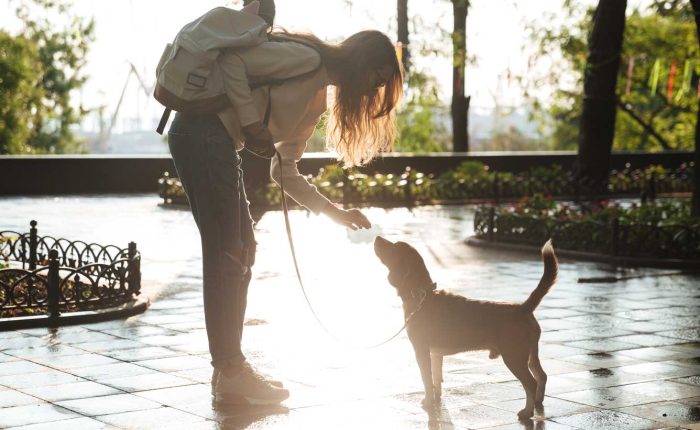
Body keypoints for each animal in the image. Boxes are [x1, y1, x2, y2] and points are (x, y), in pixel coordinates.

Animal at [374, 235, 560, 420]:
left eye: (394, 247)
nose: (377, 237)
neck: (421, 294)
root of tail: (523, 307)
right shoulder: (435, 354)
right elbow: (436, 379)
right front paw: (436, 398)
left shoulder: (421, 351)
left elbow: (426, 379)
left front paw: (429, 401)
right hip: (530, 354)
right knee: (541, 376)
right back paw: (538, 402)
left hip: (514, 357)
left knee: (531, 383)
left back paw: (527, 411)